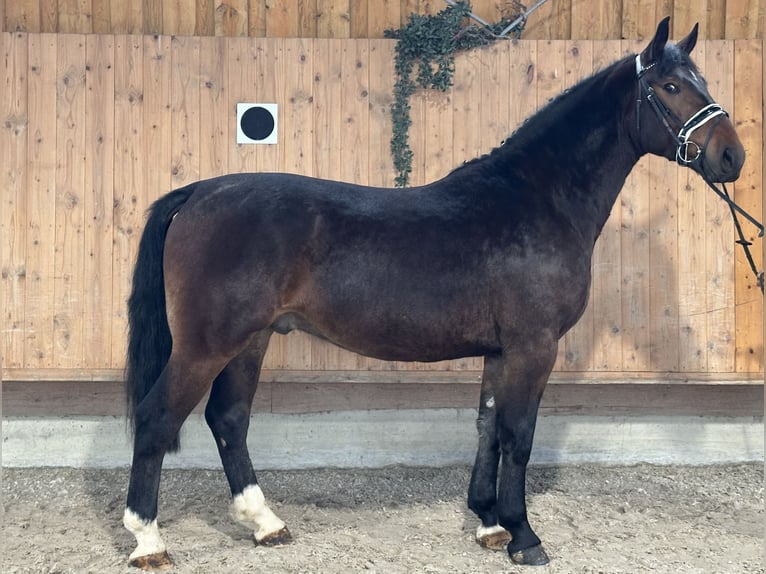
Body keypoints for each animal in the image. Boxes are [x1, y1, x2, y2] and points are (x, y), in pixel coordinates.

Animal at [123, 19, 748, 572]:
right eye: (671, 87)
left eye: (703, 81)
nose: (732, 157)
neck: (537, 199)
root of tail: (199, 192)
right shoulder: (533, 346)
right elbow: (520, 435)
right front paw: (524, 536)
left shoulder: (500, 351)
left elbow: (488, 428)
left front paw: (489, 523)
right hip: (207, 344)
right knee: (157, 418)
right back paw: (148, 541)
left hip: (249, 341)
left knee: (228, 419)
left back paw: (265, 523)